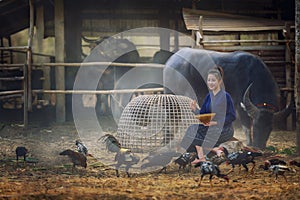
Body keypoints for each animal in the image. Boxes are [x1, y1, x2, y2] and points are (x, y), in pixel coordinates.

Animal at [163, 47, 292, 149]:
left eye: (270, 128)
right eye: (255, 126)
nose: (259, 146)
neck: (252, 75)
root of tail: (171, 61)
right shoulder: (239, 104)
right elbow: (246, 125)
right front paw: (249, 143)